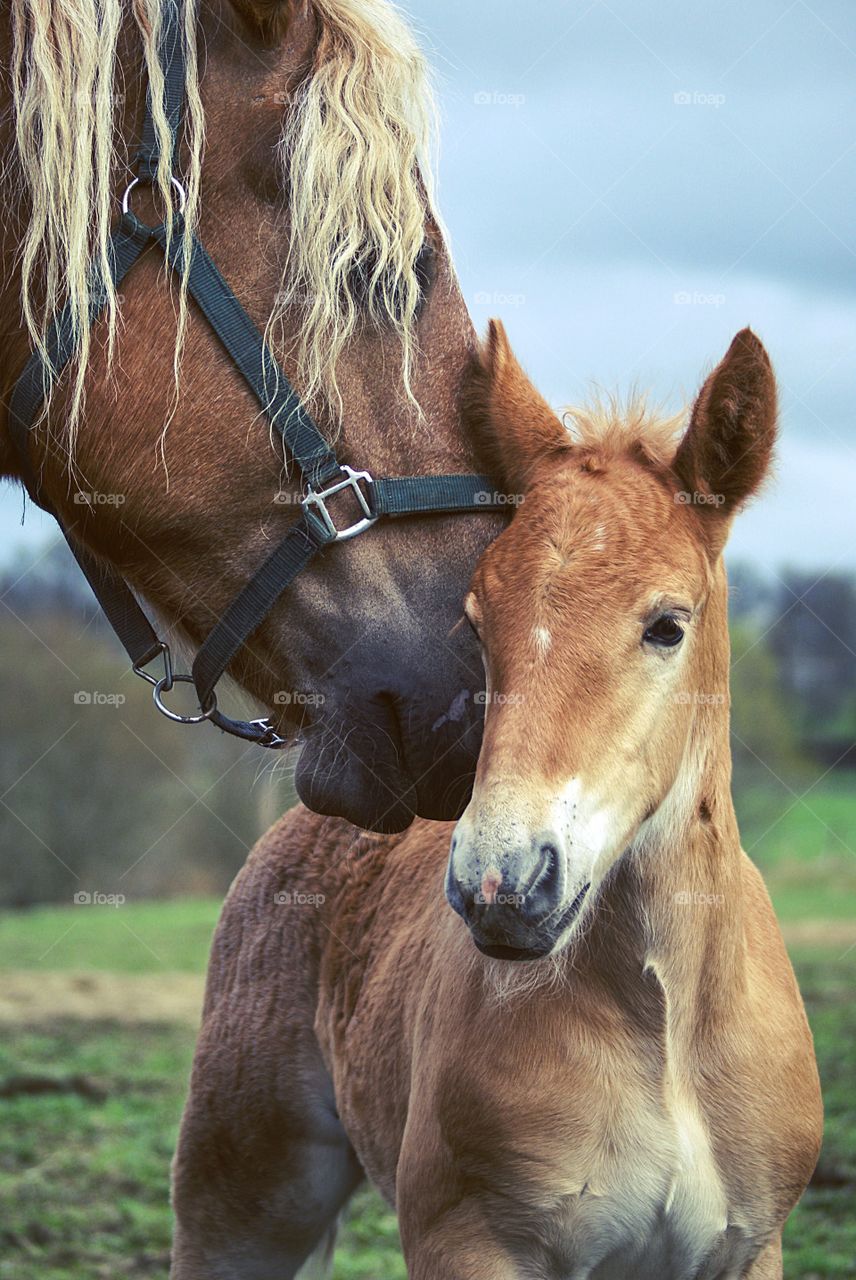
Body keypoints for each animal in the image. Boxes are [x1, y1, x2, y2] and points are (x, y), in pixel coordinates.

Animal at [174, 322, 818, 1280]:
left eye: (667, 625)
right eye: (478, 622)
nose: (502, 885)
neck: (665, 1029)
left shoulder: (749, 1249)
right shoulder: (472, 1242)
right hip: (241, 1200)